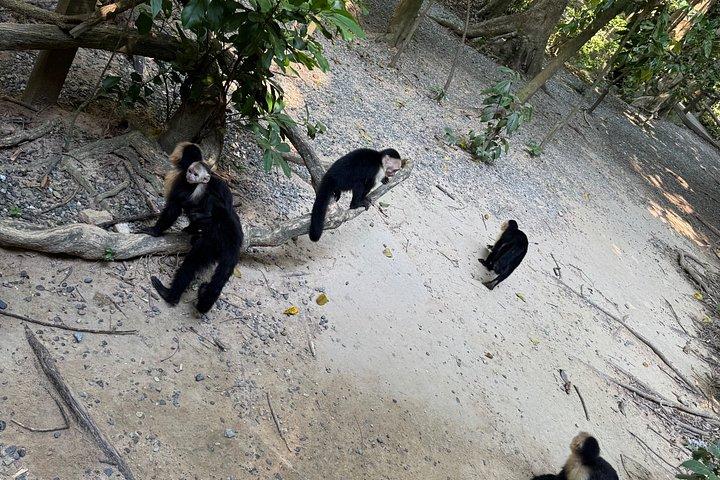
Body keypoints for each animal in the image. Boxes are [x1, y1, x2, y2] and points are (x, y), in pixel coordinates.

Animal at [142, 142, 243, 314]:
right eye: (191, 171)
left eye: (195, 174)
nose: (190, 176)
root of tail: (233, 240)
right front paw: (191, 228)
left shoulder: (181, 181)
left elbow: (174, 208)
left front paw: (154, 231)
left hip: (212, 242)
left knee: (192, 262)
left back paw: (171, 295)